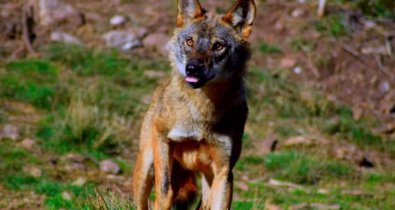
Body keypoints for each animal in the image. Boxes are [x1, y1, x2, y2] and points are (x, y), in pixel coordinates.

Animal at [133, 0, 256, 208]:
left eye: (218, 46)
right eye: (190, 41)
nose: (192, 68)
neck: (202, 111)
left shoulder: (224, 171)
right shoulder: (163, 137)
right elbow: (164, 193)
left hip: (208, 179)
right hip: (146, 166)